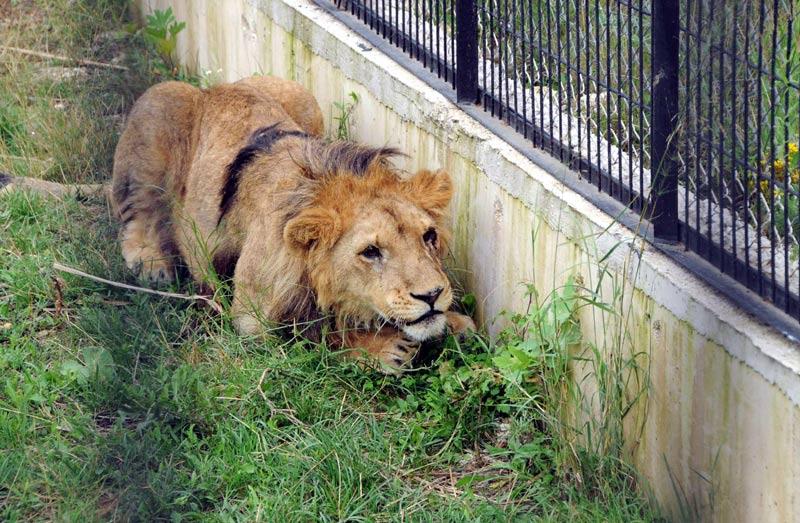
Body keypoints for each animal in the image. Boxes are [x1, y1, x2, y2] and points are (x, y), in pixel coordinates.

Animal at [111, 77, 476, 372]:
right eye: (371, 252)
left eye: (428, 236)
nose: (431, 295)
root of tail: (215, 89)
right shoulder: (251, 321)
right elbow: (311, 334)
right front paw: (384, 345)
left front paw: (455, 323)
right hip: (162, 102)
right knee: (136, 211)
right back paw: (151, 262)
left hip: (302, 96)